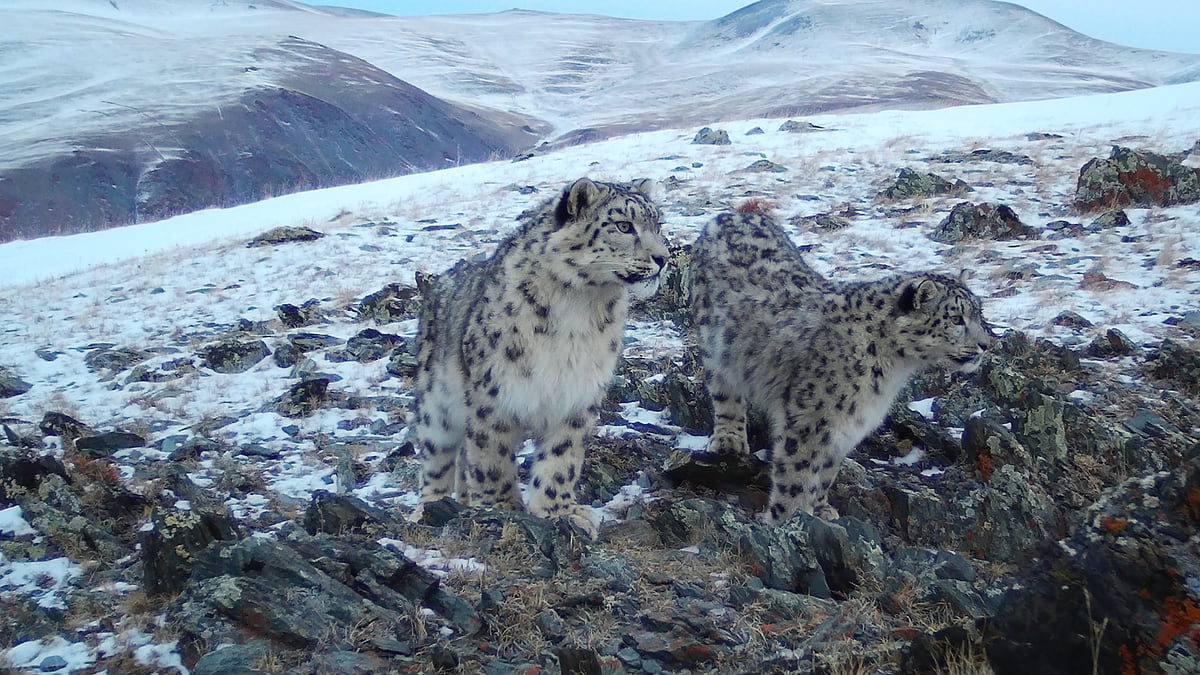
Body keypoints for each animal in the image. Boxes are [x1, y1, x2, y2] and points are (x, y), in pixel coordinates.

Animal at [408, 177, 672, 535]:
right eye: (623, 225)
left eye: (658, 225)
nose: (663, 258)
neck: (580, 309)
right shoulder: (495, 395)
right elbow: (492, 457)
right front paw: (502, 508)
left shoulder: (578, 394)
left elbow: (561, 459)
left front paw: (559, 511)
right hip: (437, 408)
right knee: (438, 461)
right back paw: (428, 510)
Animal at [691, 212, 998, 523]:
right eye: (956, 319)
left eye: (978, 312)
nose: (986, 344)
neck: (893, 370)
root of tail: (733, 214)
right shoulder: (811, 418)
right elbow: (797, 473)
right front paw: (786, 518)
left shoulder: (849, 423)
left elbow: (827, 469)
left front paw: (822, 510)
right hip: (716, 348)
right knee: (725, 392)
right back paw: (729, 440)